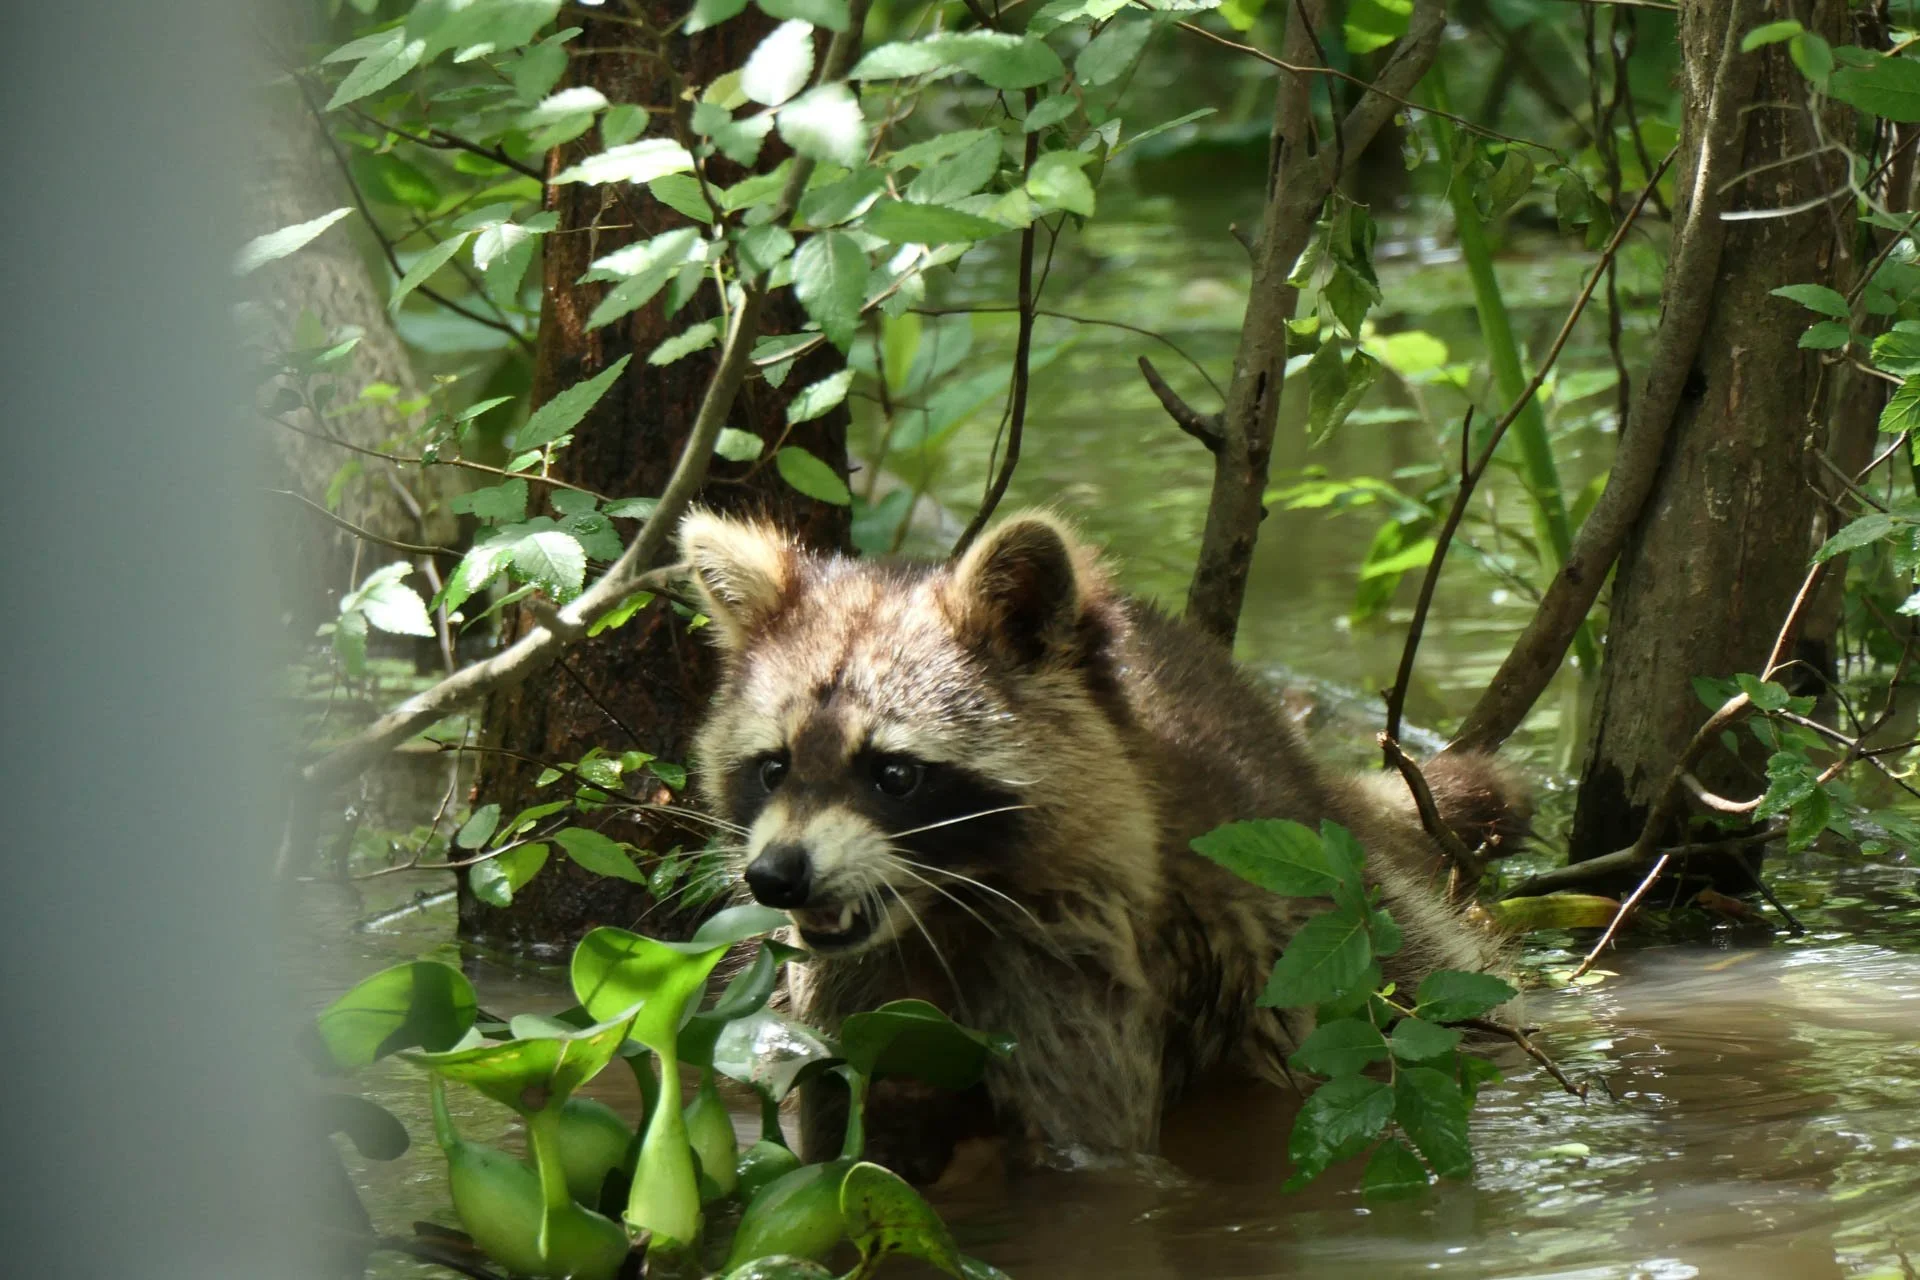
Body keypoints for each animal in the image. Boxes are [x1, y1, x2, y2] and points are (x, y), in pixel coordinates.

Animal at [678, 509, 1527, 1181]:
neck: (941, 906)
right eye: (773, 767)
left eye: (894, 774)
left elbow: (1089, 1151)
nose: (777, 877)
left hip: (1347, 924)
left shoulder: (1077, 943)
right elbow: (846, 1120)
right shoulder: (846, 992)